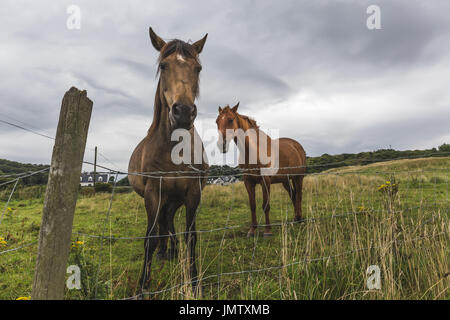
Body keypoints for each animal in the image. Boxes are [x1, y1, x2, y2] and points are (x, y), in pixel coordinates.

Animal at [128, 27, 209, 292]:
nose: (183, 112)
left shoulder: (192, 193)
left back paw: (170, 251)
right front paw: (143, 285)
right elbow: (150, 238)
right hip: (164, 198)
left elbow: (191, 236)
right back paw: (164, 252)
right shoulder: (154, 192)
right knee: (162, 225)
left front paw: (193, 280)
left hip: (174, 200)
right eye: (163, 66)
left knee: (169, 222)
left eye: (198, 68)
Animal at [216, 104, 308, 236]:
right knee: (293, 195)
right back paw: (296, 218)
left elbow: (266, 205)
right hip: (285, 181)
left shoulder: (265, 181)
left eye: (230, 120)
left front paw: (268, 230)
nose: (221, 145)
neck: (253, 152)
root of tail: (297, 145)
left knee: (299, 196)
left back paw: (300, 219)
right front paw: (252, 230)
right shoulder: (248, 182)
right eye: (217, 121)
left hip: (298, 178)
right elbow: (252, 205)